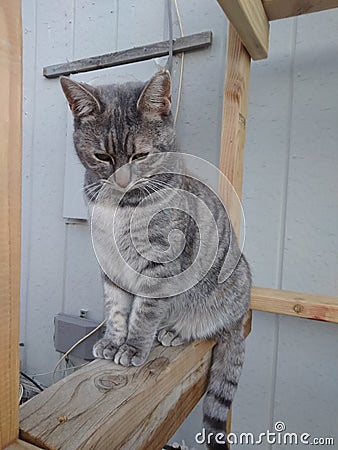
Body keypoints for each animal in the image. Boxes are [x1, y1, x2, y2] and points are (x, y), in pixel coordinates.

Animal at [61, 71, 251, 450]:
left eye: (141, 155)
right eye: (101, 156)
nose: (121, 180)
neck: (121, 206)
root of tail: (240, 317)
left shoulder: (161, 264)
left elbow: (144, 311)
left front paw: (134, 346)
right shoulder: (110, 265)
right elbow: (116, 308)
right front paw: (113, 340)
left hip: (229, 287)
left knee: (209, 327)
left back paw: (176, 330)